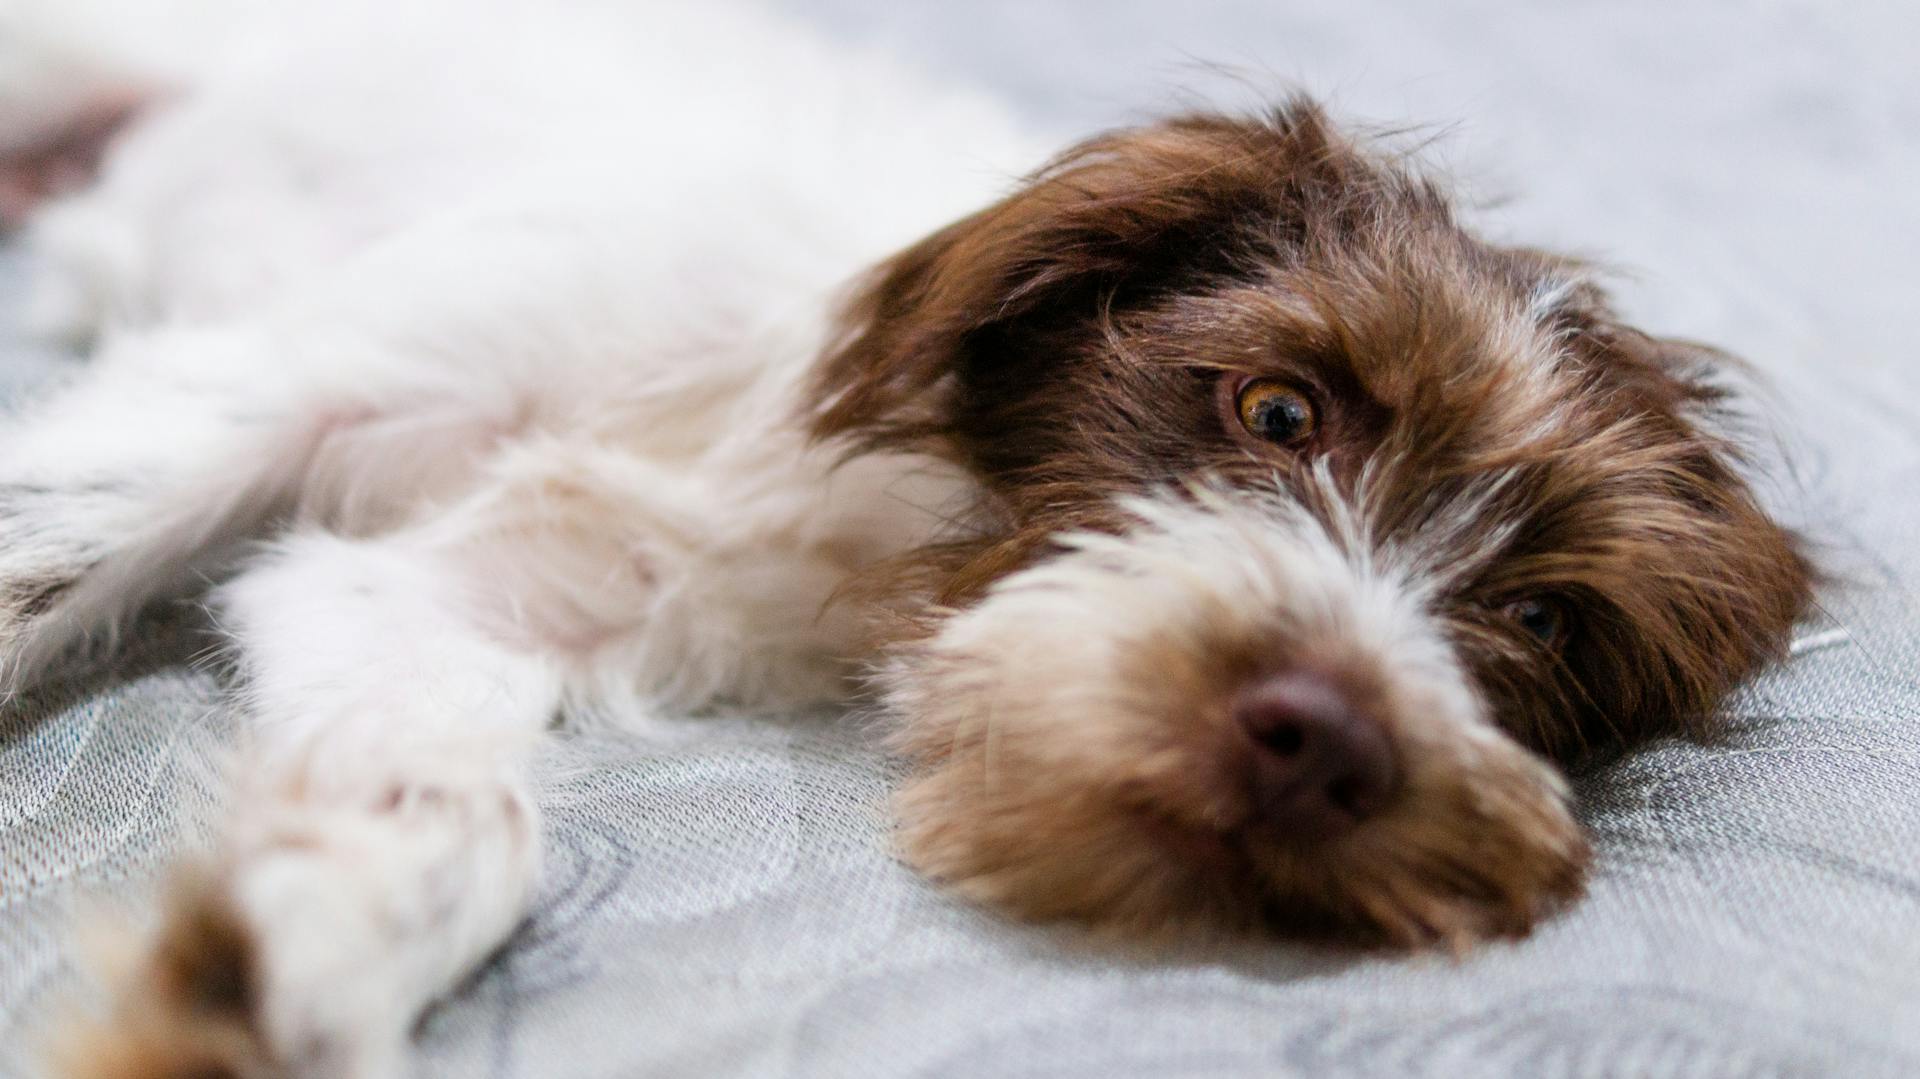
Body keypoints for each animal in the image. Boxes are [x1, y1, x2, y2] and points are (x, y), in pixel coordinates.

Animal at [0, 2, 1804, 1075]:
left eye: (1550, 624)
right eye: (1280, 409)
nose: (1326, 742)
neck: (875, 515)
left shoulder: (421, 601)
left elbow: (456, 816)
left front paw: (258, 968)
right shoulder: (278, 384)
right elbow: (53, 546)